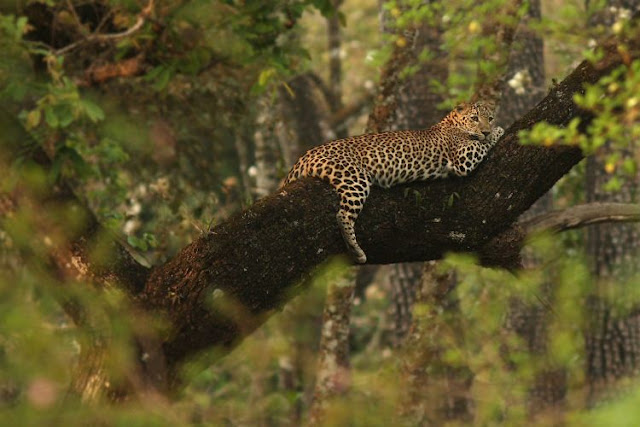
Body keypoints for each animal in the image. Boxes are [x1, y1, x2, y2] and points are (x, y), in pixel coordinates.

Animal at [284, 103, 504, 264]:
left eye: (490, 118)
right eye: (475, 118)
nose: (486, 129)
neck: (453, 123)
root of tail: (305, 156)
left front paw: (494, 130)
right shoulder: (463, 158)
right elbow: (482, 143)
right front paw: (497, 132)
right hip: (354, 178)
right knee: (342, 215)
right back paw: (356, 251)